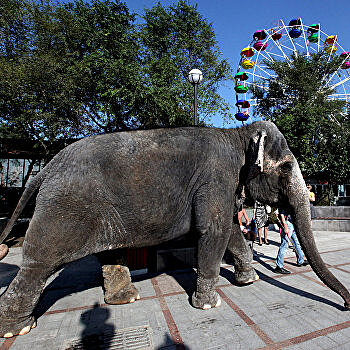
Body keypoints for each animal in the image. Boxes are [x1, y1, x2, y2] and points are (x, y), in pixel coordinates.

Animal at [0, 120, 350, 336]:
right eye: (288, 167)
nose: (346, 304)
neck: (237, 134)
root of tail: (46, 167)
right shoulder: (217, 178)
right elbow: (214, 232)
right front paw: (209, 304)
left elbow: (231, 232)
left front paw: (247, 281)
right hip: (65, 210)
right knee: (37, 264)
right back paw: (18, 329)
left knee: (109, 253)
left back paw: (127, 299)